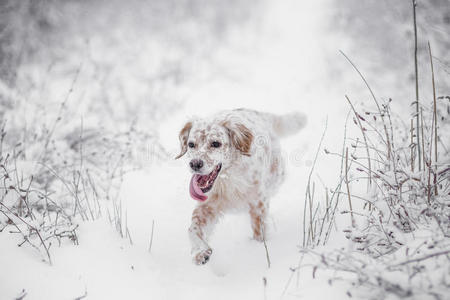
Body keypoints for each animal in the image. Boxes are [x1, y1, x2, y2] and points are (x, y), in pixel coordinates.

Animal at [176, 108, 306, 264]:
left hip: (277, 176)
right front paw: (199, 252)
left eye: (215, 143)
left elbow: (259, 231)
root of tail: (260, 114)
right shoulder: (207, 206)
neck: (228, 178)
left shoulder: (258, 203)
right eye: (191, 144)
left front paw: (258, 248)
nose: (195, 164)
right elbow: (192, 229)